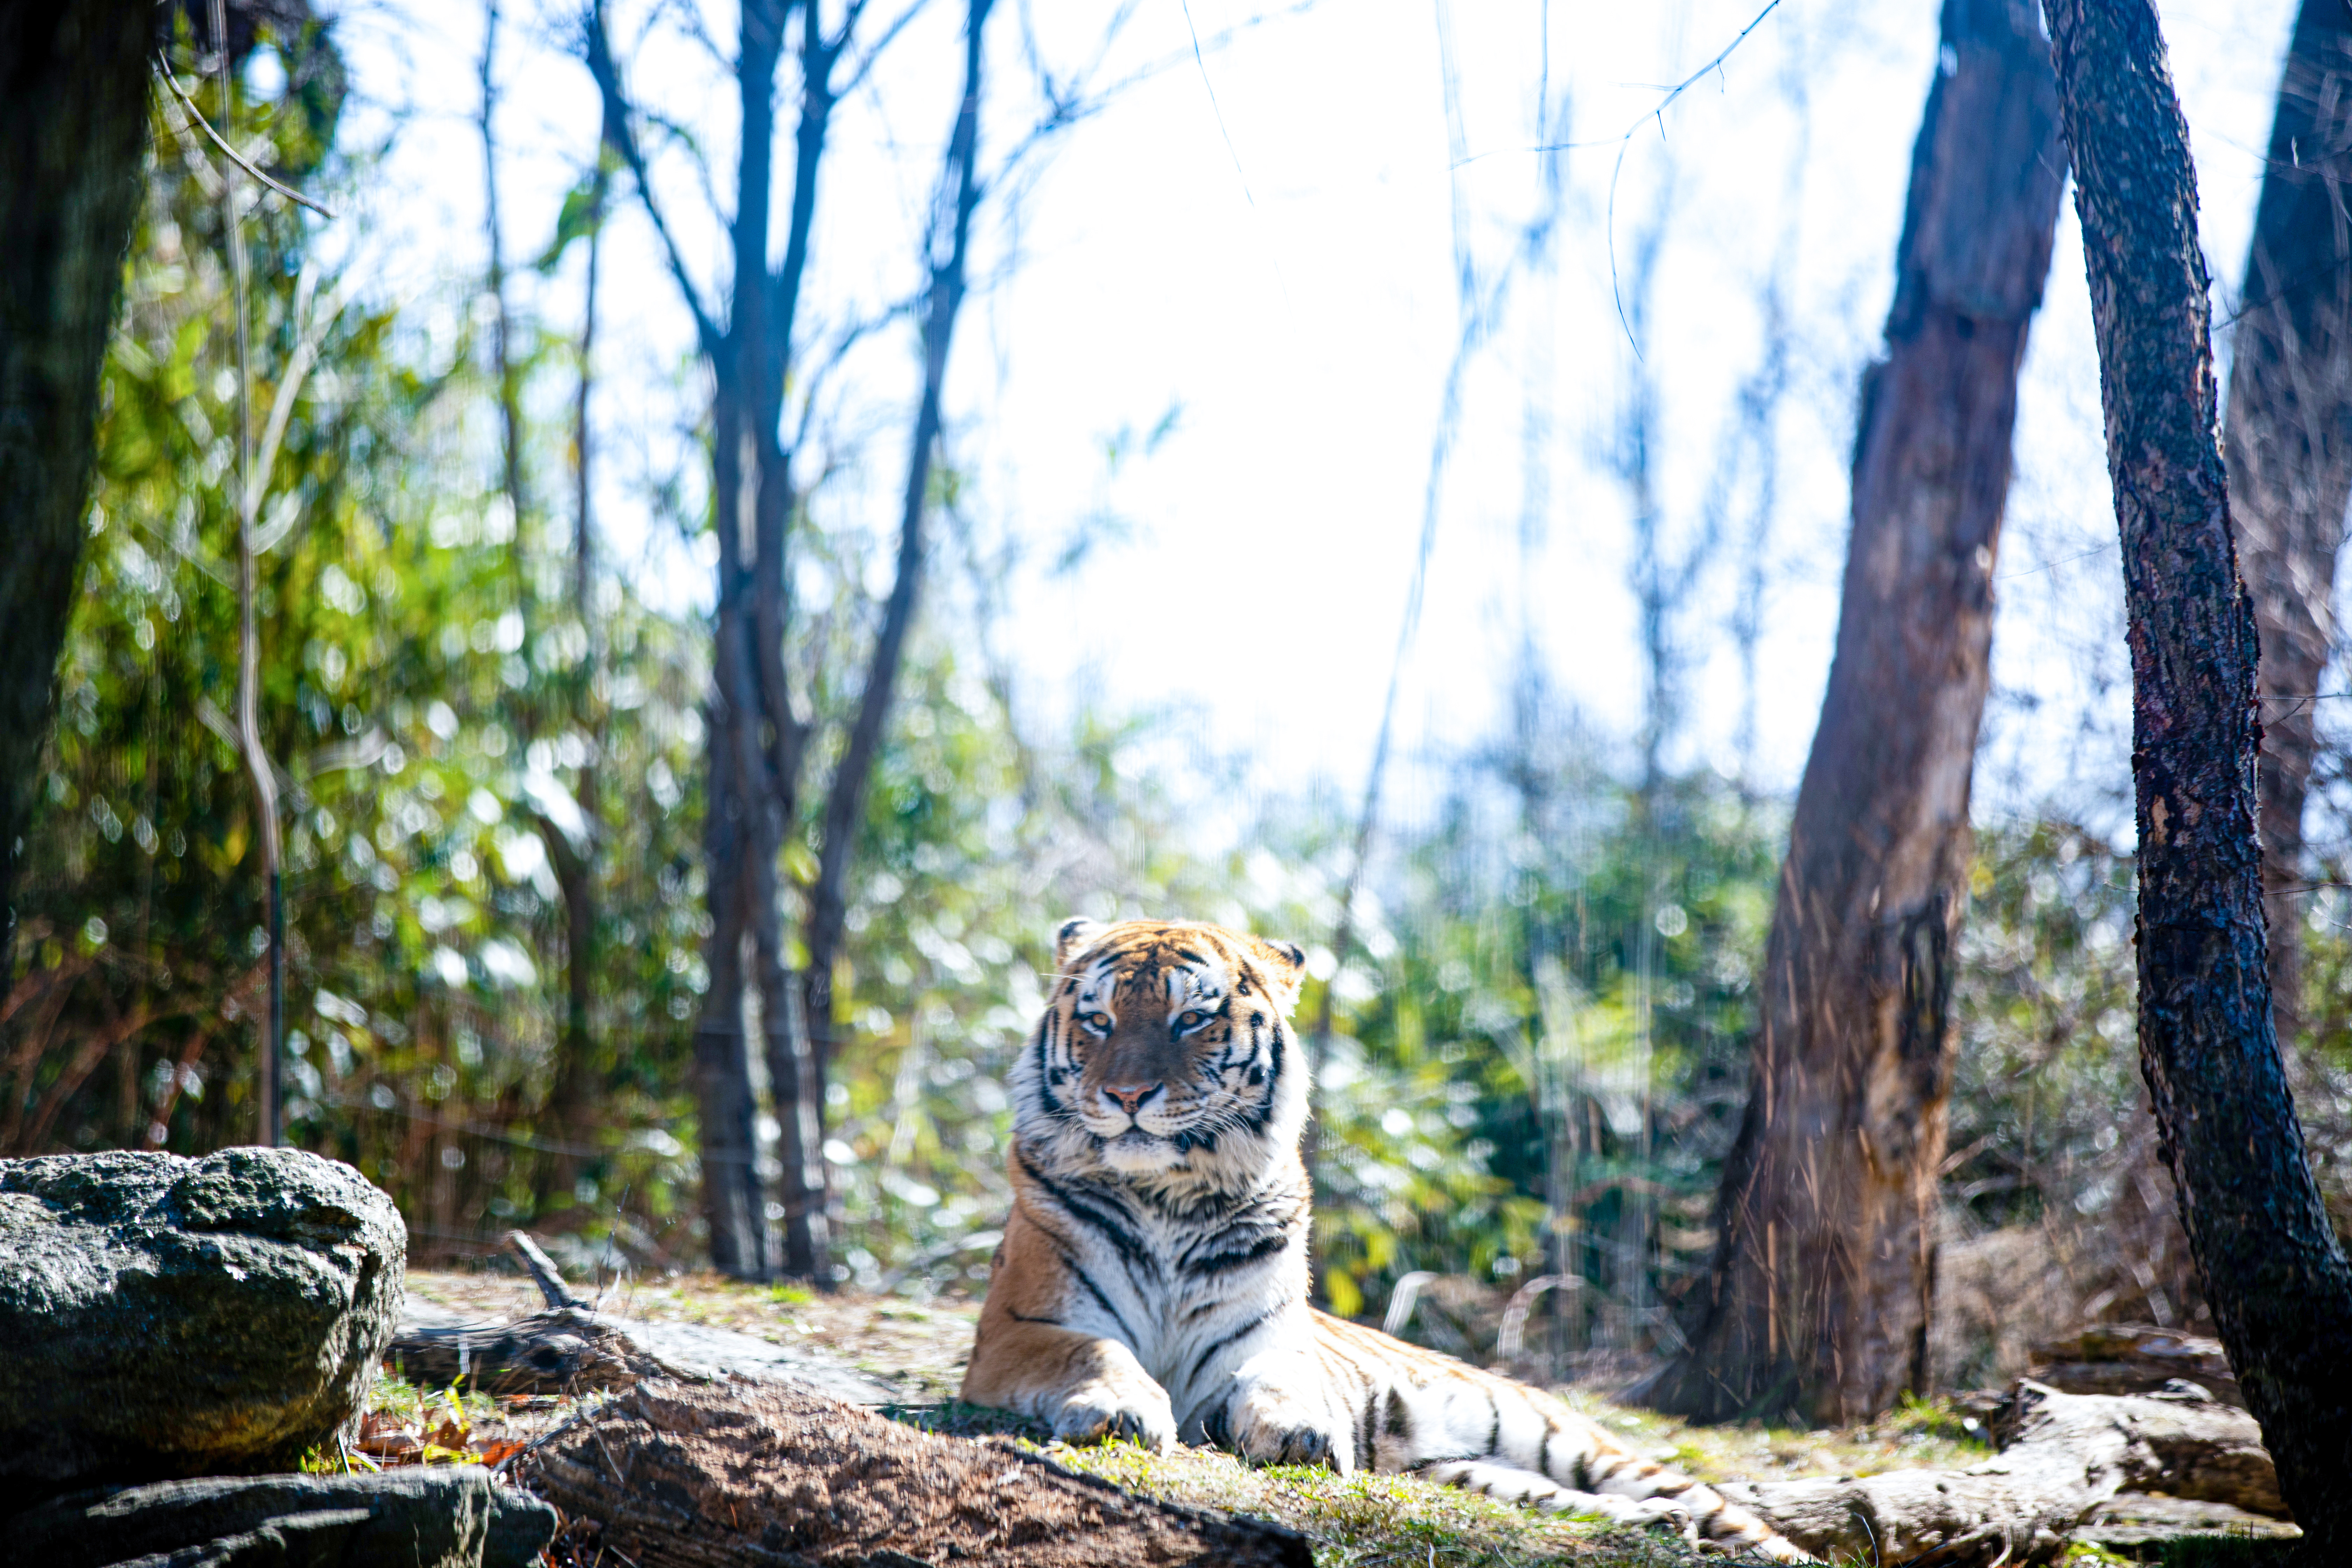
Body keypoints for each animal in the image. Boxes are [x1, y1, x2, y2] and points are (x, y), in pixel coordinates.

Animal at [964, 921, 1806, 1561]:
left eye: (1191, 1020)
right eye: (1099, 1021)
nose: (1128, 1095)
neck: (1167, 1193)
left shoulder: (1268, 1341)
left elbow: (1283, 1378)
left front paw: (1298, 1430)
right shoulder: (1020, 1327)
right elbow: (1097, 1350)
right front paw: (1122, 1409)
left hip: (1575, 1445)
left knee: (1734, 1519)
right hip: (1471, 1472)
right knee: (1582, 1505)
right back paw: (1659, 1527)